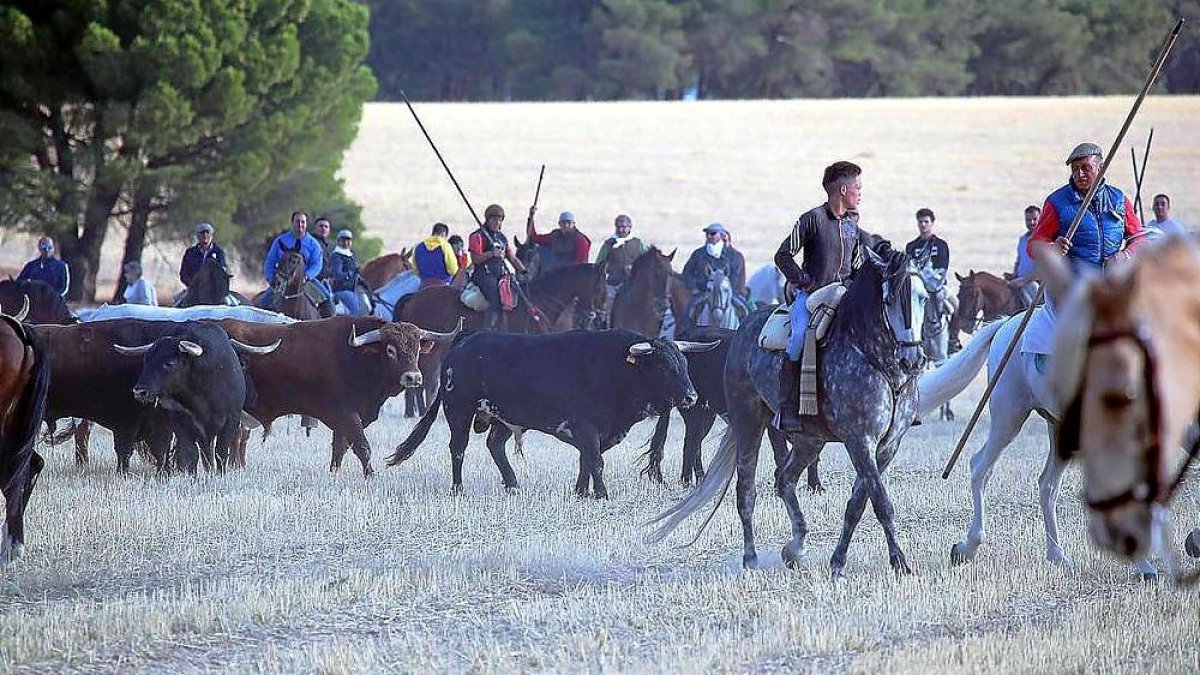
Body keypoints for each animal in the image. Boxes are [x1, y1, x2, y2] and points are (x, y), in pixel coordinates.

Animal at [216, 314, 458, 473]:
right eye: (391, 350)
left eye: (416, 349)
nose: (413, 377)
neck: (356, 356)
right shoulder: (347, 415)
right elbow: (362, 447)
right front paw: (371, 475)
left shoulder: (345, 421)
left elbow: (339, 449)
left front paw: (335, 472)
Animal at [388, 329, 715, 497]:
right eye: (664, 366)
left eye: (685, 364)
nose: (691, 396)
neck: (616, 367)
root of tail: (466, 339)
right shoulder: (586, 427)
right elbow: (596, 462)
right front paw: (601, 494)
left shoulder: (595, 433)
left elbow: (587, 460)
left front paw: (581, 492)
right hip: (459, 410)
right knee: (458, 448)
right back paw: (458, 488)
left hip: (505, 417)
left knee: (495, 445)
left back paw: (512, 484)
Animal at [657, 249, 926, 576]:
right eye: (890, 300)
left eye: (924, 297)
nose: (913, 359)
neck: (873, 357)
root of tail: (742, 330)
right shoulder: (860, 441)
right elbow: (881, 502)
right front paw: (900, 562)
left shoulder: (886, 447)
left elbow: (858, 503)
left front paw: (838, 562)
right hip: (748, 423)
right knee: (746, 490)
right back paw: (751, 558)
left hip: (810, 440)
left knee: (784, 479)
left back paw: (794, 549)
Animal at [912, 312, 1156, 576]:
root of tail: (1007, 324)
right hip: (1009, 417)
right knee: (980, 468)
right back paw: (968, 548)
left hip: (1057, 429)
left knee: (1047, 485)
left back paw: (1057, 555)